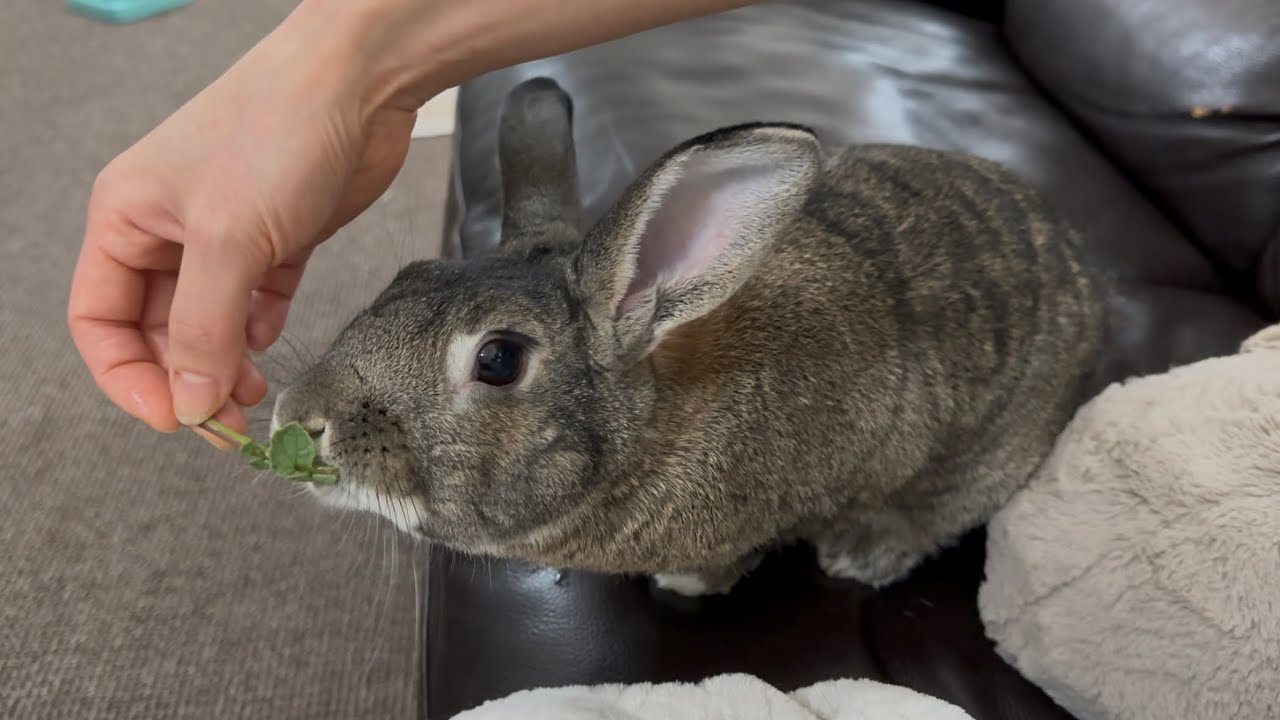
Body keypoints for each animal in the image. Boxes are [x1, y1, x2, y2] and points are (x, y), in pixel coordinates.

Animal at [271, 76, 1107, 597]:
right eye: (408, 276)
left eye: (499, 360)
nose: (299, 419)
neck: (646, 433)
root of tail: (1081, 269)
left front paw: (683, 583)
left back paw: (862, 554)